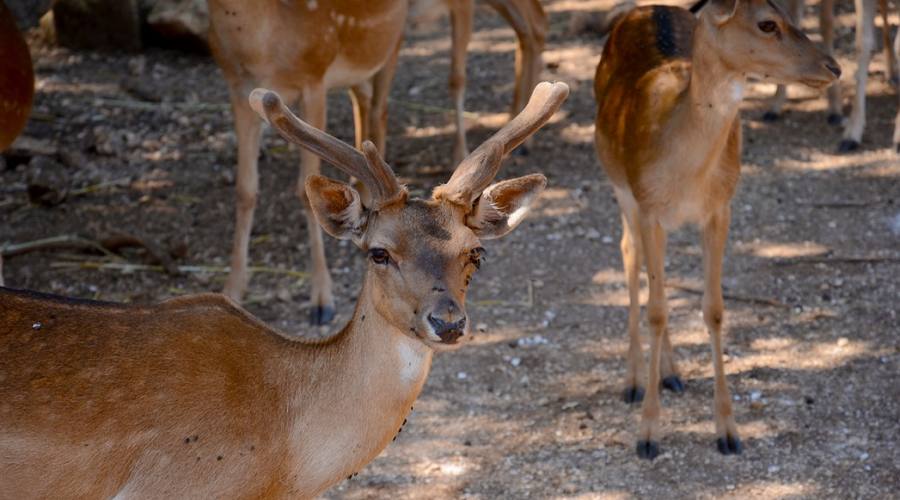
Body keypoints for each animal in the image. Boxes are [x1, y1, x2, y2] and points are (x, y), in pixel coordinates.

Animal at [207, 0, 408, 324]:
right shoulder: (239, 89)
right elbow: (244, 190)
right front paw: (232, 289)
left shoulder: (314, 77)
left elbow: (304, 191)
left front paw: (322, 300)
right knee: (363, 101)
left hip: (391, 45)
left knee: (381, 108)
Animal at [596, 0, 840, 458]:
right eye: (767, 23)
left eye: (790, 12)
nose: (833, 66)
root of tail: (644, 9)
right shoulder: (648, 205)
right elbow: (656, 309)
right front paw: (647, 435)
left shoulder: (720, 208)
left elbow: (714, 309)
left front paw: (728, 431)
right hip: (618, 184)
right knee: (628, 254)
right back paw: (634, 381)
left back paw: (671, 374)